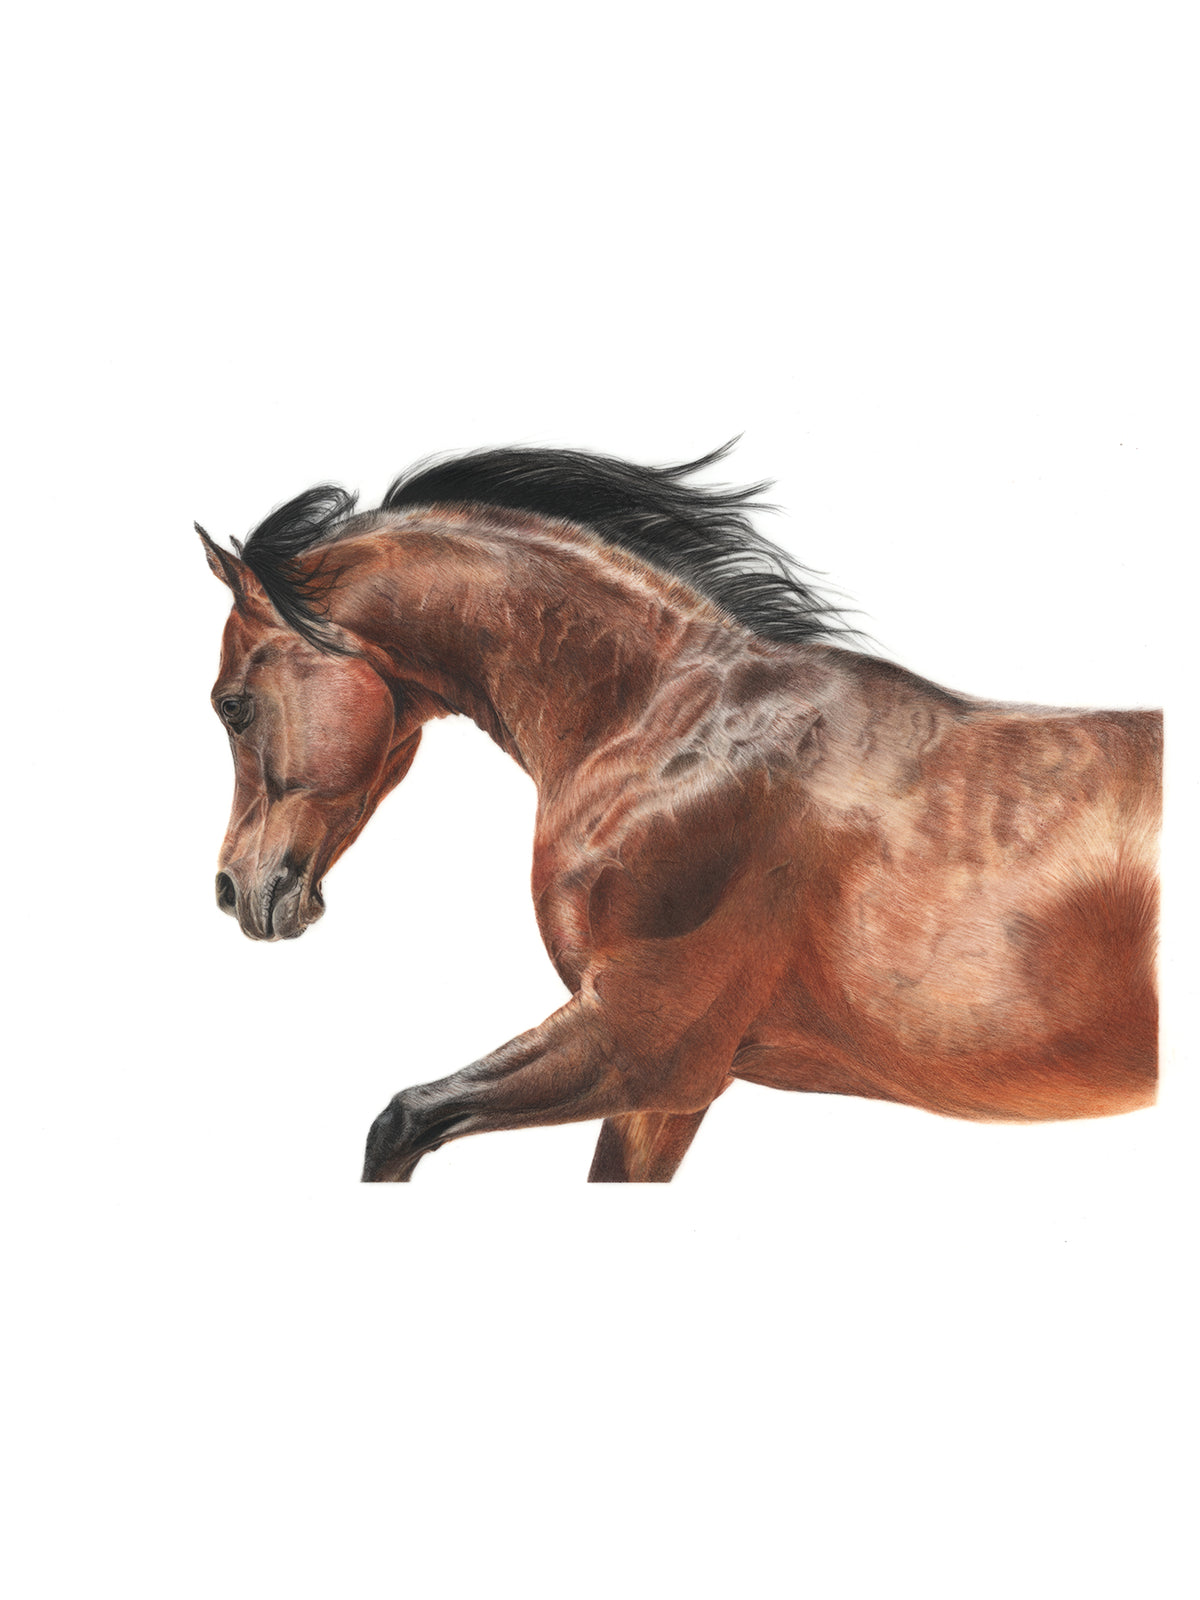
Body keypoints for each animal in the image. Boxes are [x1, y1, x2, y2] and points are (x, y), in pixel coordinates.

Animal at [198, 443, 1161, 1182]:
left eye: (230, 705)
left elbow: (399, 1123)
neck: (670, 728)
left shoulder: (643, 1043)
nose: (235, 890)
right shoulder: (665, 1092)